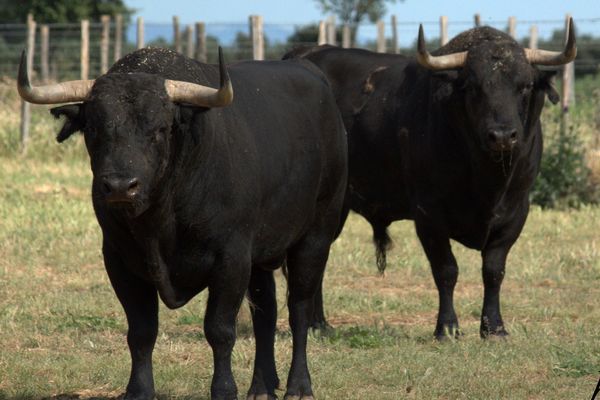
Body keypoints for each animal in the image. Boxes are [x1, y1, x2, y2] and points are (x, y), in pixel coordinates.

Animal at [18, 47, 346, 400]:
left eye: (160, 129)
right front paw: (138, 390)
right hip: (261, 253)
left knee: (299, 309)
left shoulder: (231, 259)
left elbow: (219, 330)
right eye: (93, 128)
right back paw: (261, 386)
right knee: (266, 313)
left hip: (315, 237)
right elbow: (141, 331)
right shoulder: (119, 260)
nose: (120, 186)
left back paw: (299, 386)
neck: (160, 221)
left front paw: (224, 389)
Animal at [286, 18, 576, 338]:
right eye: (474, 87)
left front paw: (494, 328)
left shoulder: (516, 213)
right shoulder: (428, 214)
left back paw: (320, 325)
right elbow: (446, 270)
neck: (486, 181)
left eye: (524, 86)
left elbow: (493, 271)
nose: (502, 135)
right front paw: (447, 328)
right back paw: (313, 324)